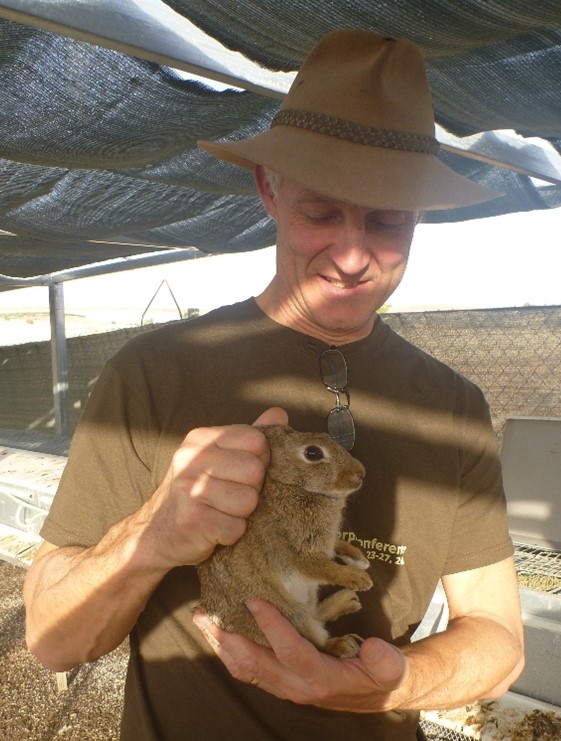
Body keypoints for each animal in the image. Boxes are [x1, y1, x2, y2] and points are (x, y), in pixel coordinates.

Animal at [197, 424, 372, 656]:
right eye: (313, 453)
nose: (361, 473)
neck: (292, 486)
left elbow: (337, 545)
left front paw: (359, 559)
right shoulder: (300, 552)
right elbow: (327, 569)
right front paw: (360, 579)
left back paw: (347, 601)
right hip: (292, 614)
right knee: (317, 641)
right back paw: (344, 643)